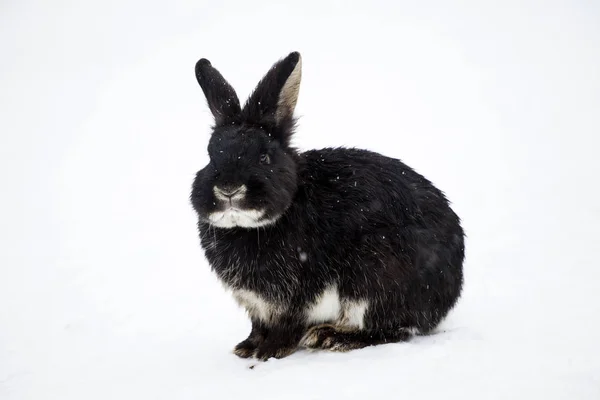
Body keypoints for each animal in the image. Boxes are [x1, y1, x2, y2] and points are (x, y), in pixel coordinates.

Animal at [191, 51, 464, 360]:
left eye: (264, 158)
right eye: (211, 156)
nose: (228, 188)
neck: (250, 227)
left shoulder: (297, 297)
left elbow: (288, 325)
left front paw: (269, 353)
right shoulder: (257, 306)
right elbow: (258, 326)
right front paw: (247, 347)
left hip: (374, 275)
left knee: (393, 330)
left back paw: (330, 337)